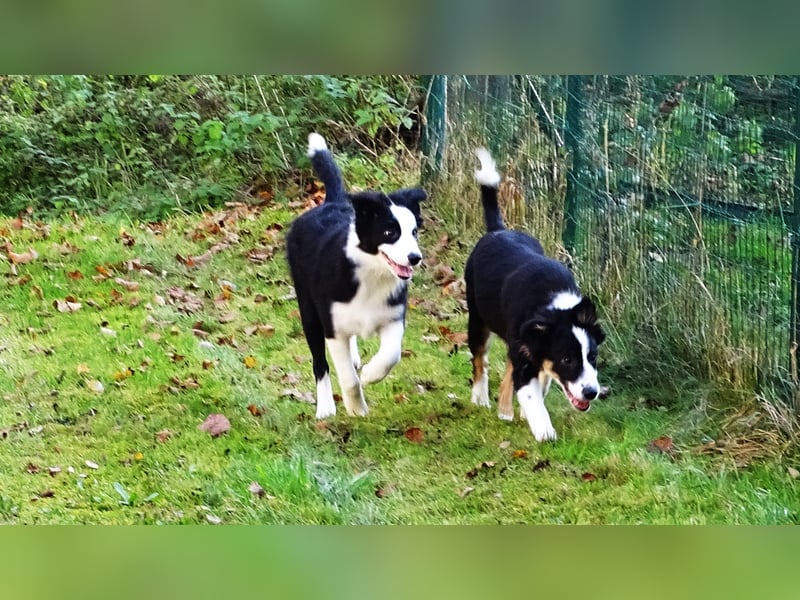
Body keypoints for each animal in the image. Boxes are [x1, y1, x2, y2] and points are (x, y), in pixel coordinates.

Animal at [286, 134, 428, 420]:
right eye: (389, 232)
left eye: (414, 232)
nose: (414, 258)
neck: (371, 275)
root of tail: (330, 203)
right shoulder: (332, 327)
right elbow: (348, 378)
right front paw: (356, 407)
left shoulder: (393, 317)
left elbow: (391, 355)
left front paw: (372, 374)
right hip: (308, 308)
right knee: (320, 363)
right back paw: (325, 407)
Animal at [462, 148, 608, 442]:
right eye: (567, 359)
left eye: (593, 357)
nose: (591, 393)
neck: (556, 307)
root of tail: (498, 230)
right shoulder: (526, 353)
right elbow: (531, 395)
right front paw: (545, 432)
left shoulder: (531, 351)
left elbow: (539, 384)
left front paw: (522, 413)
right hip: (478, 319)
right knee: (480, 360)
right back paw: (481, 398)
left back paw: (505, 410)